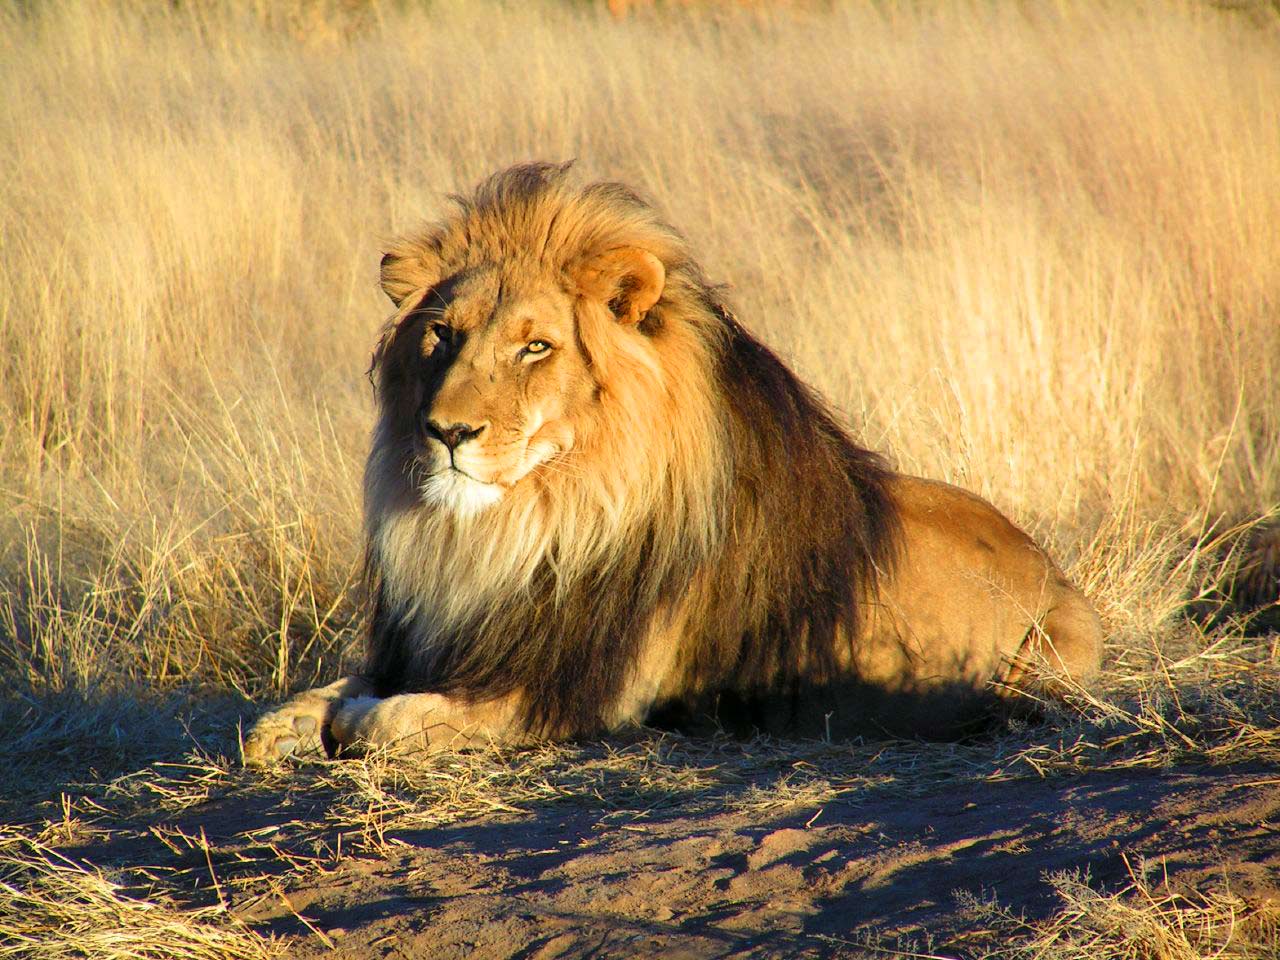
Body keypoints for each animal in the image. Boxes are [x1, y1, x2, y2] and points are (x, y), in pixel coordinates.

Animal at [242, 162, 1103, 765]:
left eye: (535, 346)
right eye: (442, 335)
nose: (447, 431)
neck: (519, 526)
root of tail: (1053, 567)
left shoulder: (575, 693)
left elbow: (387, 720)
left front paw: (352, 721)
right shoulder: (441, 641)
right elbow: (315, 699)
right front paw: (287, 725)